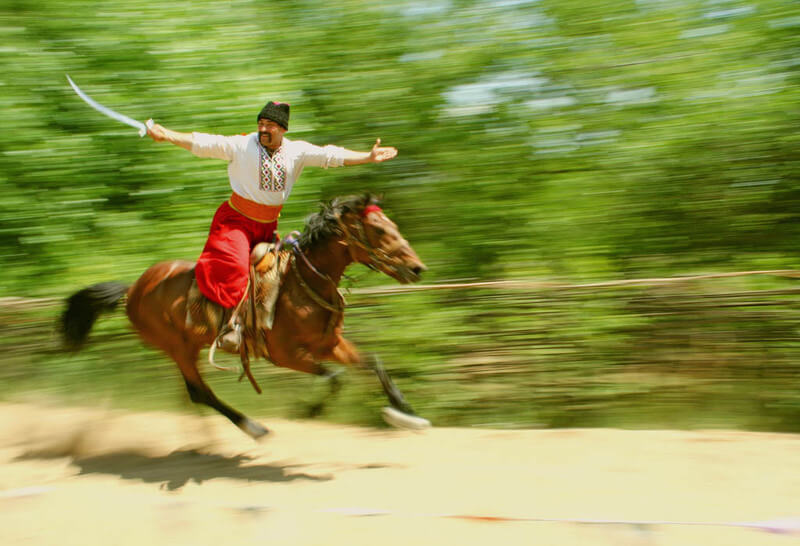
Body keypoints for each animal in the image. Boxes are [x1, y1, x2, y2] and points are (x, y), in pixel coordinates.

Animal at [61, 193, 428, 436]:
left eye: (392, 225)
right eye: (379, 230)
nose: (416, 268)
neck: (302, 284)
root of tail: (134, 288)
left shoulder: (329, 344)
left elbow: (372, 365)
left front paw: (406, 413)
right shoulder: (285, 354)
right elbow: (334, 378)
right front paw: (308, 410)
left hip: (189, 346)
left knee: (190, 396)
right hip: (176, 347)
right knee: (200, 392)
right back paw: (252, 427)